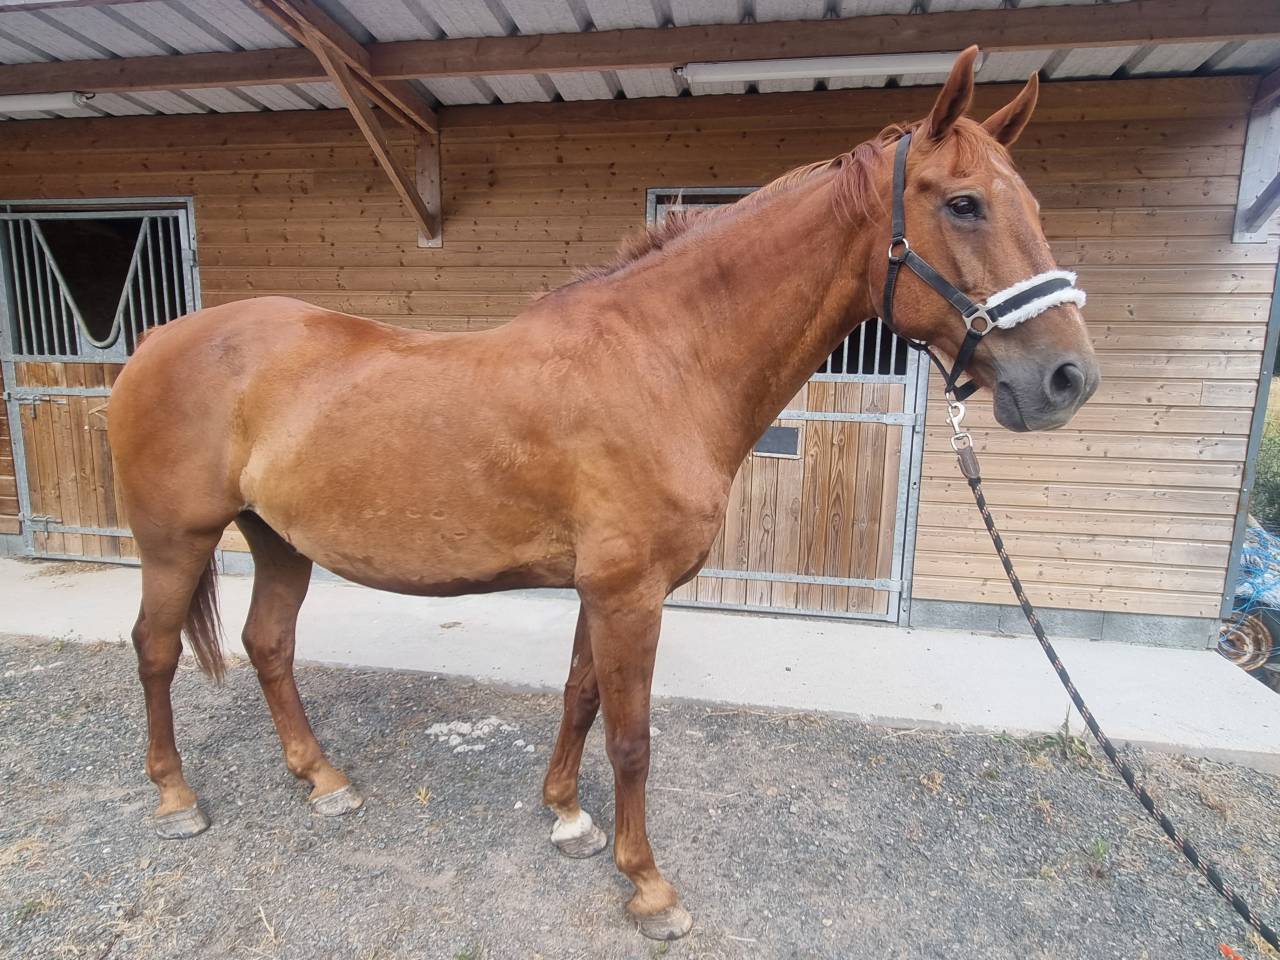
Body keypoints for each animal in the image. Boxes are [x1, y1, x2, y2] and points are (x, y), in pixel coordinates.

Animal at [107, 47, 1098, 941]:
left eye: (1033, 205)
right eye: (963, 203)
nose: (1067, 379)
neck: (663, 361)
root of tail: (157, 342)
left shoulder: (602, 588)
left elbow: (581, 696)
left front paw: (568, 817)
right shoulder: (629, 593)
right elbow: (632, 737)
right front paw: (649, 888)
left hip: (276, 538)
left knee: (267, 644)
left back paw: (323, 781)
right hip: (175, 540)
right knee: (154, 648)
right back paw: (176, 797)